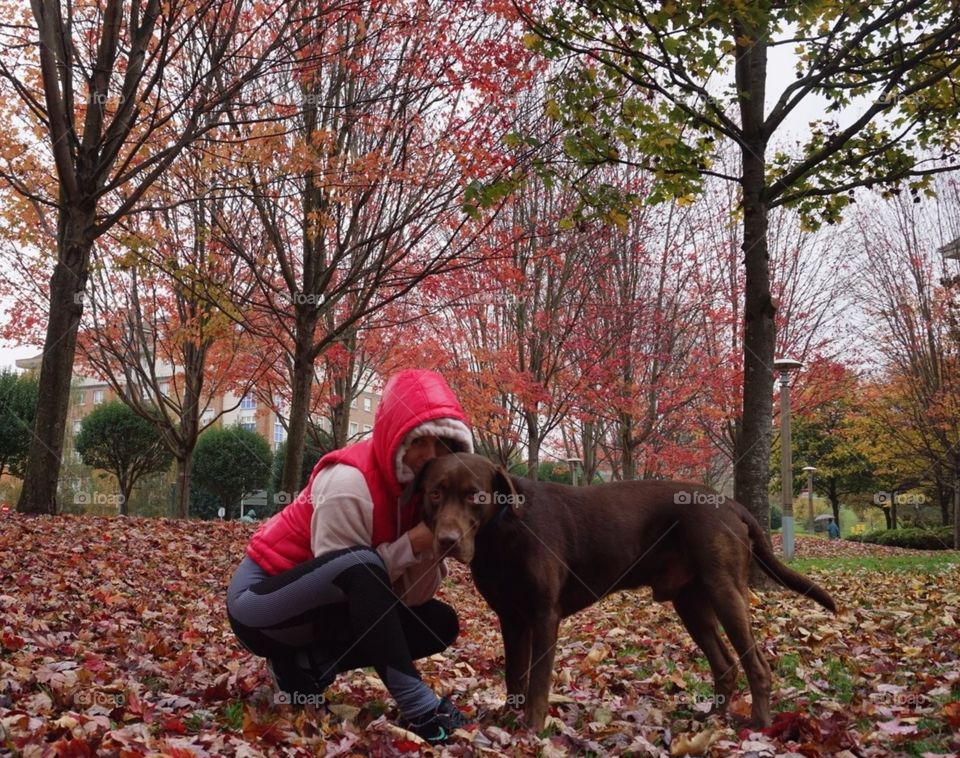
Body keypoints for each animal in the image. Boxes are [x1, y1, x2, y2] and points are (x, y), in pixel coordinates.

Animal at [416, 454, 836, 732]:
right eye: (435, 494)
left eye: (474, 495)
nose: (448, 541)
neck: (502, 533)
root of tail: (731, 503)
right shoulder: (511, 618)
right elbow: (515, 675)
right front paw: (507, 720)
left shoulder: (543, 615)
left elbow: (537, 682)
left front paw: (532, 730)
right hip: (691, 604)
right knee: (726, 666)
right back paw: (713, 719)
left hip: (725, 592)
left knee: (757, 665)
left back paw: (758, 726)